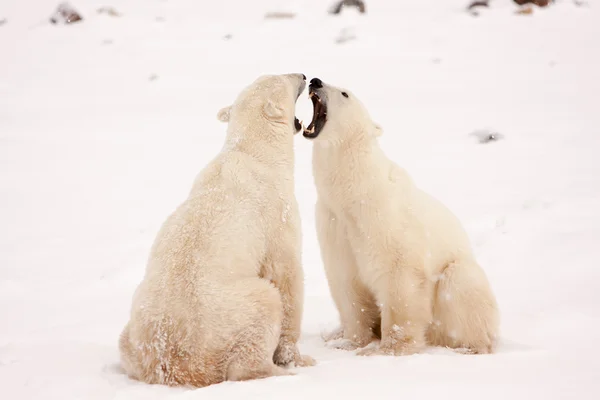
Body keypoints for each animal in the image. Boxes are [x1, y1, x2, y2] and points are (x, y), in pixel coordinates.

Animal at [116, 72, 314, 388]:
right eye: (285, 78)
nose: (303, 75)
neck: (252, 152)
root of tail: (171, 363)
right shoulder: (276, 211)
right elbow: (285, 276)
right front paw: (296, 357)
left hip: (135, 329)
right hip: (231, 315)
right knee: (262, 309)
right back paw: (279, 372)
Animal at [302, 78, 500, 356]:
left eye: (344, 93)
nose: (315, 80)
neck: (354, 193)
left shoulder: (383, 218)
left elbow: (400, 280)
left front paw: (386, 349)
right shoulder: (333, 223)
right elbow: (347, 283)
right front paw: (350, 341)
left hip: (460, 276)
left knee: (461, 283)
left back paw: (471, 347)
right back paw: (332, 333)